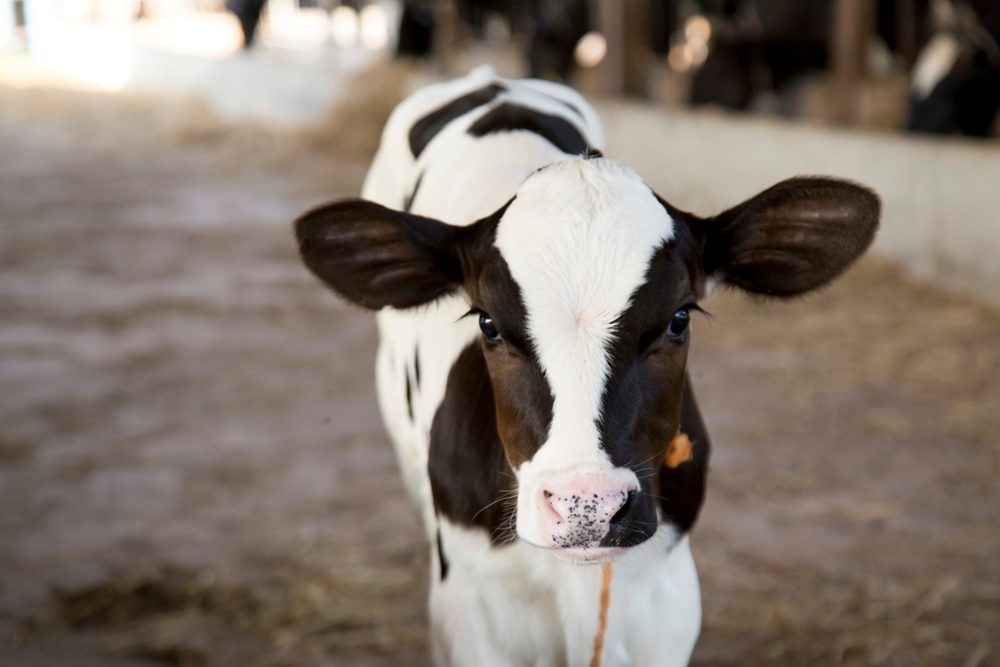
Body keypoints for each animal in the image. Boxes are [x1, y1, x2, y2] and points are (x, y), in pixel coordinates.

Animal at [292, 70, 880, 664]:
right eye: (488, 323)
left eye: (679, 318)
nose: (587, 506)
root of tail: (491, 79)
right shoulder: (471, 612)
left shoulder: (668, 604)